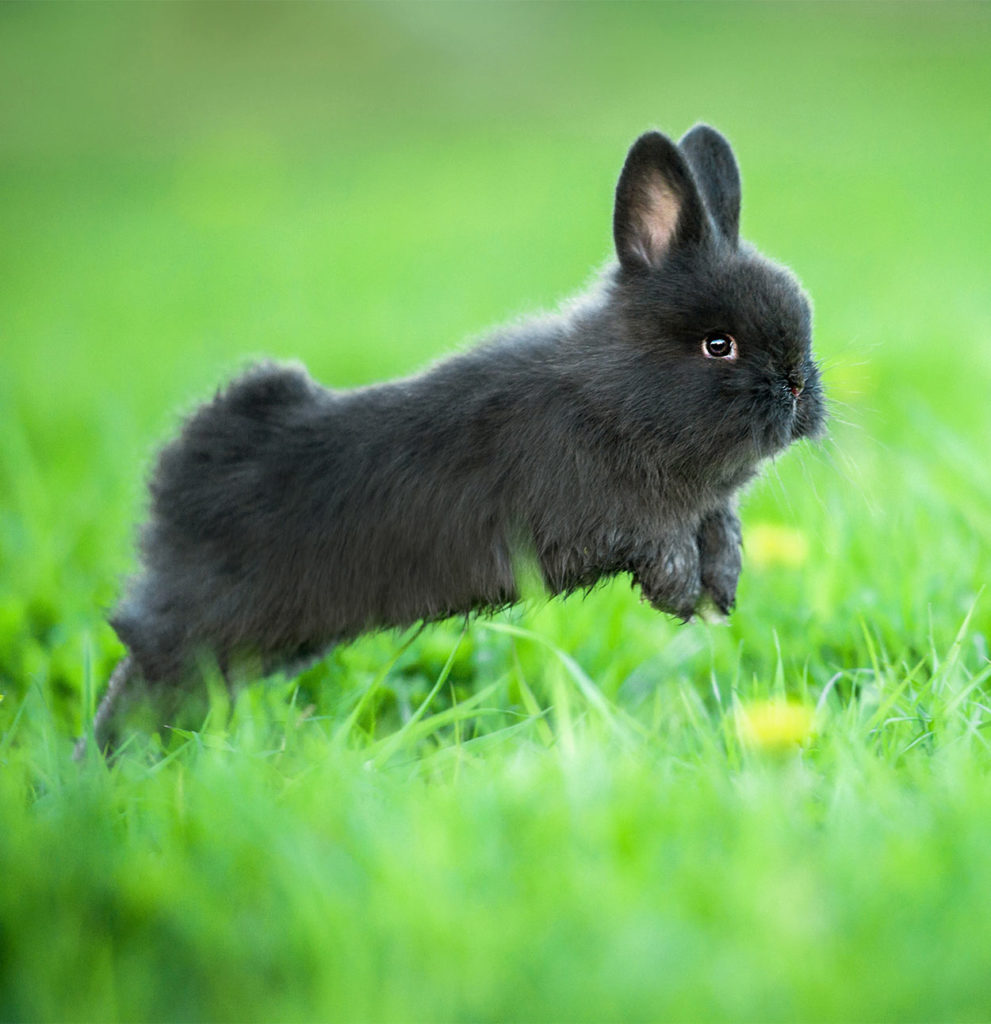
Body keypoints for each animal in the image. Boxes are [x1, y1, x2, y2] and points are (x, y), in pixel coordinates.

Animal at [73, 123, 823, 757]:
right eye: (718, 345)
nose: (793, 385)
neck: (611, 393)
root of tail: (178, 475)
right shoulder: (601, 517)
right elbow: (655, 541)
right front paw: (682, 596)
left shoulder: (701, 507)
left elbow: (717, 529)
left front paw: (719, 591)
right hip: (199, 628)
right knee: (139, 677)